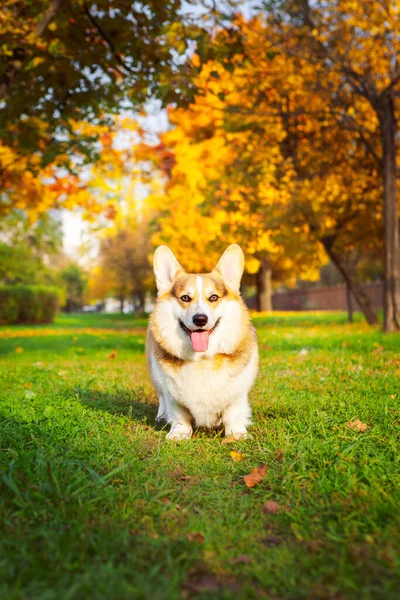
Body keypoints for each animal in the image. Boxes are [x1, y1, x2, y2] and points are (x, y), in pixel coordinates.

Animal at [145, 244, 258, 440]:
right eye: (185, 298)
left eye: (213, 297)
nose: (200, 319)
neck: (202, 359)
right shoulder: (172, 394)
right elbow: (179, 414)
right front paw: (179, 434)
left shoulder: (237, 393)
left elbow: (234, 413)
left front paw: (236, 434)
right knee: (161, 397)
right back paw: (161, 415)